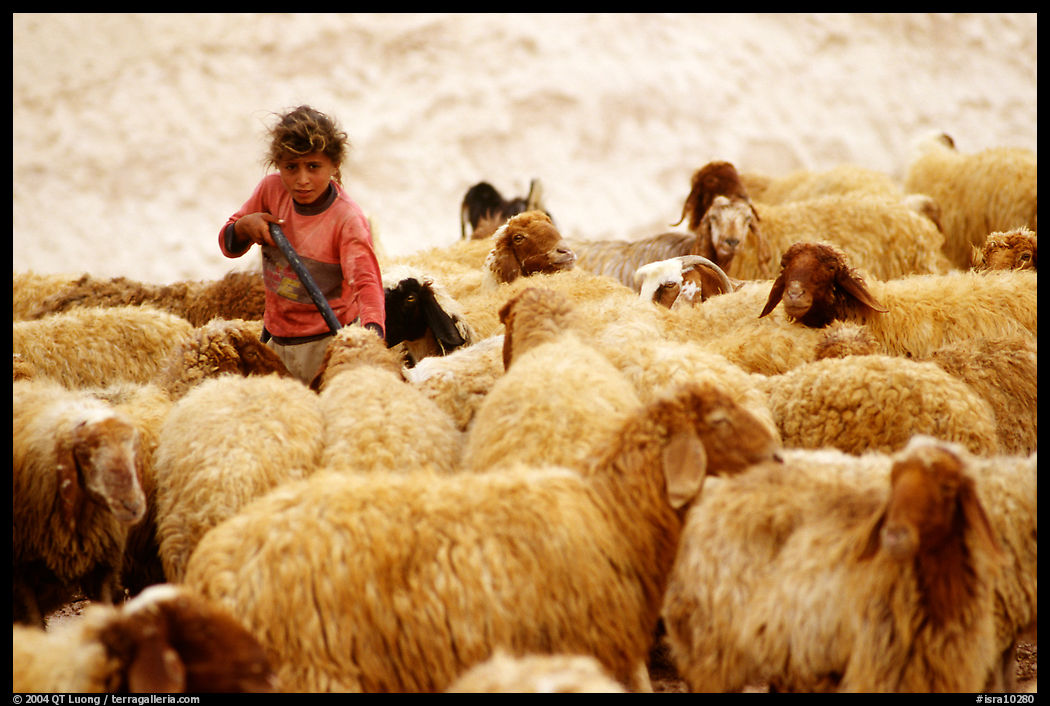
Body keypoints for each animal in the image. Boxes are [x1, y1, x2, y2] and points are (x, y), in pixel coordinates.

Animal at [661, 436, 1005, 692]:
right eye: (894, 482)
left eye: (948, 487)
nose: (894, 535)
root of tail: (717, 489)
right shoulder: (877, 670)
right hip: (711, 644)